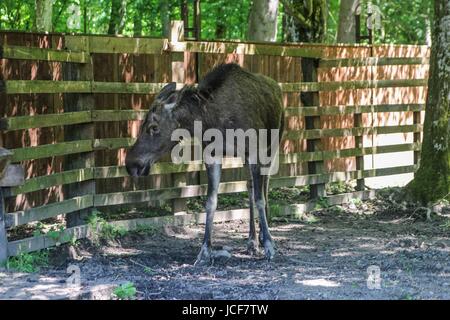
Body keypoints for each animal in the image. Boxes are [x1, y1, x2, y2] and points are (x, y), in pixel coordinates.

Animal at [125, 63, 284, 264]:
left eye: (153, 127)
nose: (130, 163)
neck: (213, 120)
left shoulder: (255, 151)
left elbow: (260, 198)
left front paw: (269, 245)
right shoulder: (213, 154)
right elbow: (211, 201)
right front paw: (205, 250)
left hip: (274, 144)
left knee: (264, 185)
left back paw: (265, 237)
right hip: (246, 158)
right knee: (249, 186)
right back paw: (252, 241)